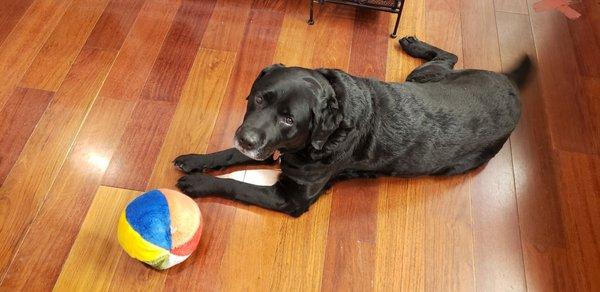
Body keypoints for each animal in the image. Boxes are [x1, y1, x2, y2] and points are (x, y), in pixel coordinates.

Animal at [172, 36, 528, 217]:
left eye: (289, 119)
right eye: (259, 98)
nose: (246, 137)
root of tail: (510, 85)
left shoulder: (290, 199)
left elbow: (238, 186)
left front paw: (198, 183)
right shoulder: (264, 143)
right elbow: (231, 154)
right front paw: (196, 160)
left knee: (450, 56)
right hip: (425, 77)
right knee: (449, 57)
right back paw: (412, 42)